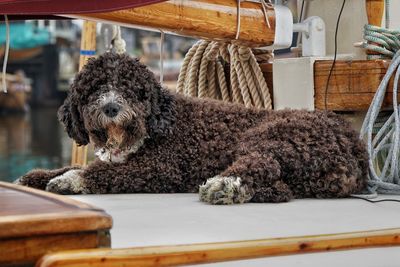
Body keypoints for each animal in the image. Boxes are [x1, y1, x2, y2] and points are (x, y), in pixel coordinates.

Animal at [16, 51, 368, 205]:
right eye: (95, 88)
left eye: (130, 88)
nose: (111, 107)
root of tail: (355, 144)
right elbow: (71, 164)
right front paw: (35, 177)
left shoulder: (160, 169)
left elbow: (100, 172)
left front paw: (71, 180)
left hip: (272, 134)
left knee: (260, 164)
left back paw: (225, 185)